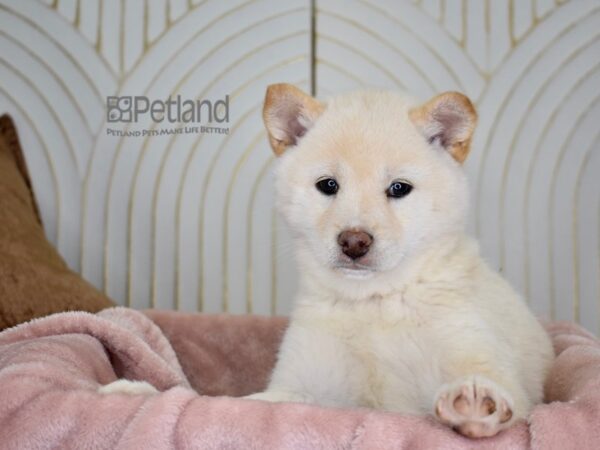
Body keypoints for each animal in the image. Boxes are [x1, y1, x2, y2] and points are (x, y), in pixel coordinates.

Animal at [247, 82, 552, 438]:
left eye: (398, 188)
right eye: (328, 185)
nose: (354, 242)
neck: (375, 302)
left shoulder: (479, 355)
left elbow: (496, 386)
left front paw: (475, 405)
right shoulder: (303, 382)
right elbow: (268, 401)